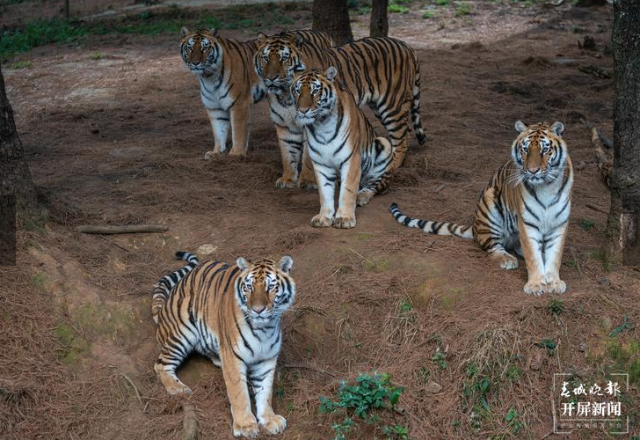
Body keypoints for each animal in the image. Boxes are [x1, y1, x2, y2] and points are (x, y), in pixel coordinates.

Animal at [152, 251, 296, 438]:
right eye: (249, 287)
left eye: (271, 287)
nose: (258, 310)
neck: (265, 328)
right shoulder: (233, 357)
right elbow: (239, 394)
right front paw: (246, 426)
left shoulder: (267, 360)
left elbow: (265, 392)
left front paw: (269, 420)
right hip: (181, 332)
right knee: (160, 365)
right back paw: (178, 389)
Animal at [254, 33, 425, 189]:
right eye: (266, 58)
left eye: (284, 58)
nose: (271, 77)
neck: (285, 94)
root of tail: (406, 45)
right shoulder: (284, 124)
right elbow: (287, 154)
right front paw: (288, 179)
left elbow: (308, 158)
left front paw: (308, 182)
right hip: (379, 107)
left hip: (392, 105)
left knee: (401, 139)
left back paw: (391, 165)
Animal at [293, 67, 394, 229]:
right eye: (297, 91)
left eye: (315, 91)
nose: (303, 110)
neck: (322, 125)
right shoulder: (321, 163)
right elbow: (325, 192)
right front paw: (324, 217)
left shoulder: (351, 159)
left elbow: (348, 190)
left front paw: (344, 218)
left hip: (384, 145)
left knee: (375, 185)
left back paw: (361, 196)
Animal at [390, 121, 573, 295]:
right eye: (525, 150)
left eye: (545, 150)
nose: (533, 171)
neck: (546, 186)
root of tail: (475, 226)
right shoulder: (527, 222)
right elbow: (532, 256)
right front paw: (535, 285)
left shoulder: (559, 223)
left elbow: (555, 255)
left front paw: (554, 282)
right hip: (490, 207)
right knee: (493, 246)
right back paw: (508, 259)